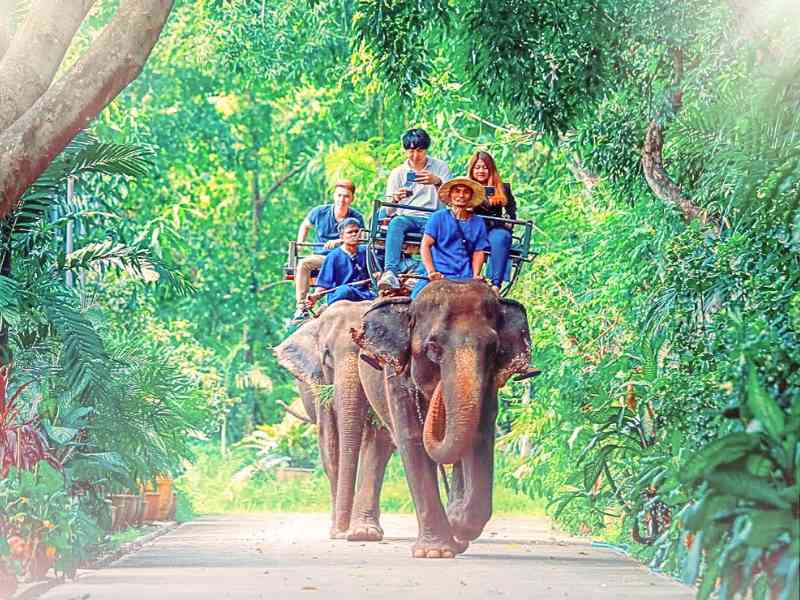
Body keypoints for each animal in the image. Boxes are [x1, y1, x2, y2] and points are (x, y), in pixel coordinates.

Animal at [273, 301, 395, 541]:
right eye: (327, 353)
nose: (341, 530)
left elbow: (378, 440)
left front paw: (362, 533)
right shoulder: (319, 382)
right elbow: (329, 441)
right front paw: (339, 531)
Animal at [352, 279, 531, 558]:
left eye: (493, 349)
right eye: (433, 347)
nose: (438, 389)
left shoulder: (489, 385)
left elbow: (479, 435)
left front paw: (458, 522)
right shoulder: (396, 377)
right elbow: (413, 440)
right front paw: (435, 552)